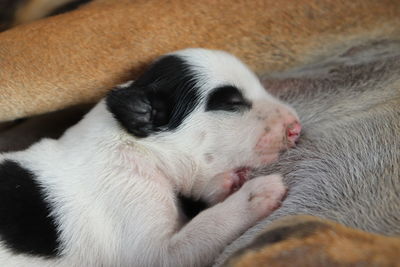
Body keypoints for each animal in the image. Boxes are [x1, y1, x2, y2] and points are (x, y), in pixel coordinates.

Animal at [0, 48, 300, 267]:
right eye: (232, 104)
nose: (296, 127)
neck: (139, 146)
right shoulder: (153, 251)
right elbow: (207, 225)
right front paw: (255, 193)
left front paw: (231, 182)